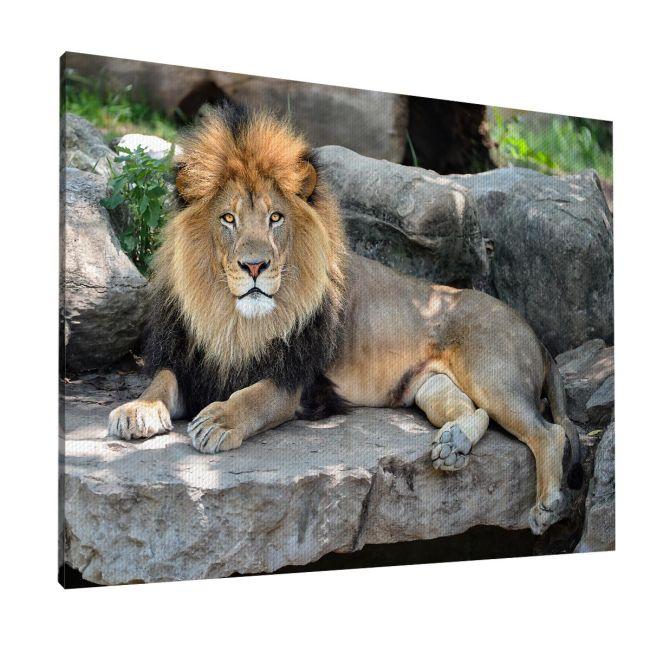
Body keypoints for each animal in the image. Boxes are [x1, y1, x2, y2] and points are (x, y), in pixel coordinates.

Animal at [108, 104, 583, 535]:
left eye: (275, 218)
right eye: (228, 219)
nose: (255, 266)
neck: (233, 321)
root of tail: (535, 334)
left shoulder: (296, 381)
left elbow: (254, 397)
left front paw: (219, 420)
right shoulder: (190, 361)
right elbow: (161, 381)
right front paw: (136, 411)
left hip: (491, 373)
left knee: (549, 432)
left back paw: (547, 504)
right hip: (430, 387)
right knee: (472, 410)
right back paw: (453, 445)